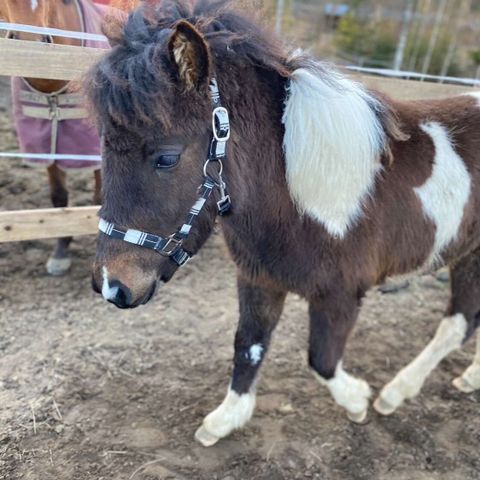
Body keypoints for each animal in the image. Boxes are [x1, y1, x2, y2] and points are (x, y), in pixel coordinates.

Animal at [87, 0, 480, 448]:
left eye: (166, 157)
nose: (112, 286)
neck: (298, 196)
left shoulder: (341, 296)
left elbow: (322, 361)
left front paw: (359, 401)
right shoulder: (259, 279)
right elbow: (249, 345)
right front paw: (226, 420)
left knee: (457, 326)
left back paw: (395, 393)